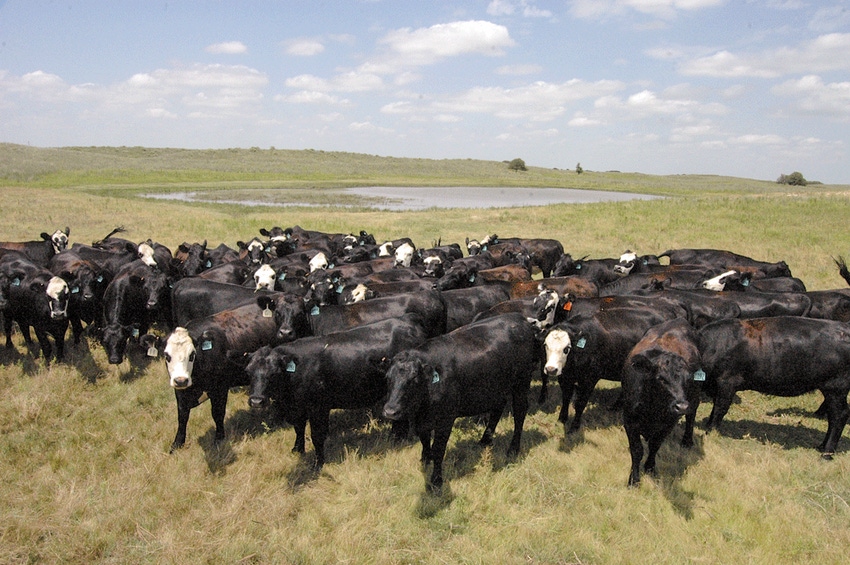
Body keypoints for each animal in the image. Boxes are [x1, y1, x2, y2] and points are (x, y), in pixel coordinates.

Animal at [245, 316, 430, 470]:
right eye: (248, 371)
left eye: (274, 373)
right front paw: (297, 449)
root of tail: (410, 322)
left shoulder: (319, 407)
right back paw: (395, 437)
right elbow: (298, 428)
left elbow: (317, 436)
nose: (256, 401)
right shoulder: (298, 407)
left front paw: (318, 463)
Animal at [382, 310, 536, 492]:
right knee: (497, 408)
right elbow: (424, 439)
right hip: (497, 386)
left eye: (414, 379)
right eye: (388, 378)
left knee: (520, 412)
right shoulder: (422, 418)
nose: (390, 411)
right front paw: (425, 459)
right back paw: (485, 440)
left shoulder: (446, 418)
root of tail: (519, 318)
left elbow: (439, 449)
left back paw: (513, 449)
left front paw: (436, 481)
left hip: (522, 382)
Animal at [620, 318, 700, 484]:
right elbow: (637, 450)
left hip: (694, 397)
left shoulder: (668, 423)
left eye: (688, 379)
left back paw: (687, 441)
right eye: (661, 379)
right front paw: (634, 479)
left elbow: (655, 445)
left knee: (692, 415)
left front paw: (650, 468)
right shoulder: (629, 420)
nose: (681, 406)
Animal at [696, 318, 848, 458]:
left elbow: (719, 409)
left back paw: (827, 452)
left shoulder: (727, 382)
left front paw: (710, 431)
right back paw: (822, 446)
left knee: (839, 416)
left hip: (835, 389)